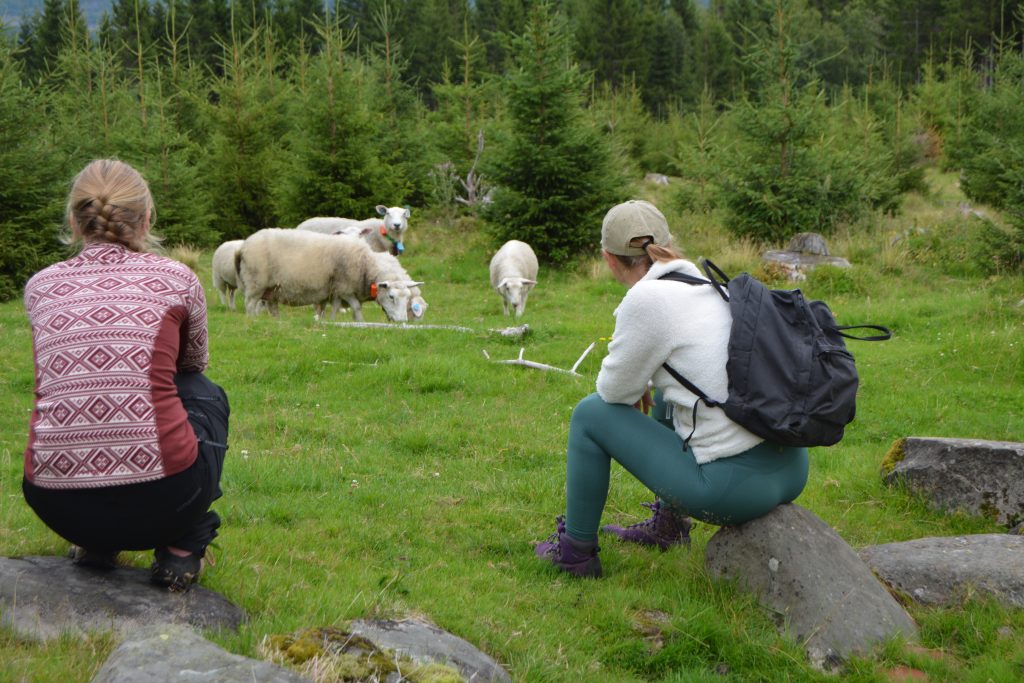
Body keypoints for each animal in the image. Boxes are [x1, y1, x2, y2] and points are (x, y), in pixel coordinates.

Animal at [234, 228, 419, 321]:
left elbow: (334, 307)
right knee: (250, 304)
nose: (402, 321)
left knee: (272, 307)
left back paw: (277, 322)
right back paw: (253, 321)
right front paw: (361, 323)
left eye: (407, 298)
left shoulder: (335, 290)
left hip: (273, 289)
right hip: (256, 283)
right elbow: (356, 307)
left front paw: (331, 321)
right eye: (391, 296)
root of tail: (243, 246)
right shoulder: (344, 287)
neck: (366, 264)